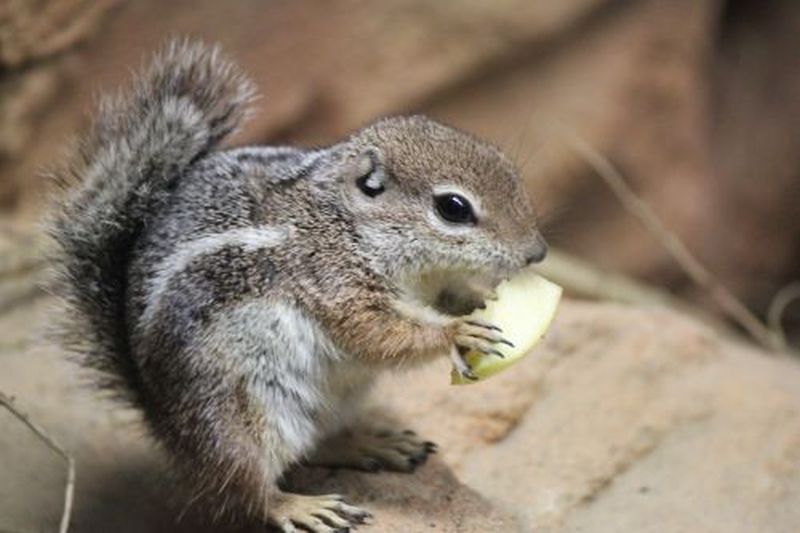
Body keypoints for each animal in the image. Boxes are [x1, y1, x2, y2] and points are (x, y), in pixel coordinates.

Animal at [47, 39, 548, 528]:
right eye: (453, 208)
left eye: (507, 165)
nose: (538, 252)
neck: (346, 222)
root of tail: (159, 418)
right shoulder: (333, 280)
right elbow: (379, 333)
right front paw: (456, 332)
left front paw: (480, 298)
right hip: (238, 416)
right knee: (245, 487)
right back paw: (300, 506)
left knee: (314, 446)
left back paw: (371, 444)